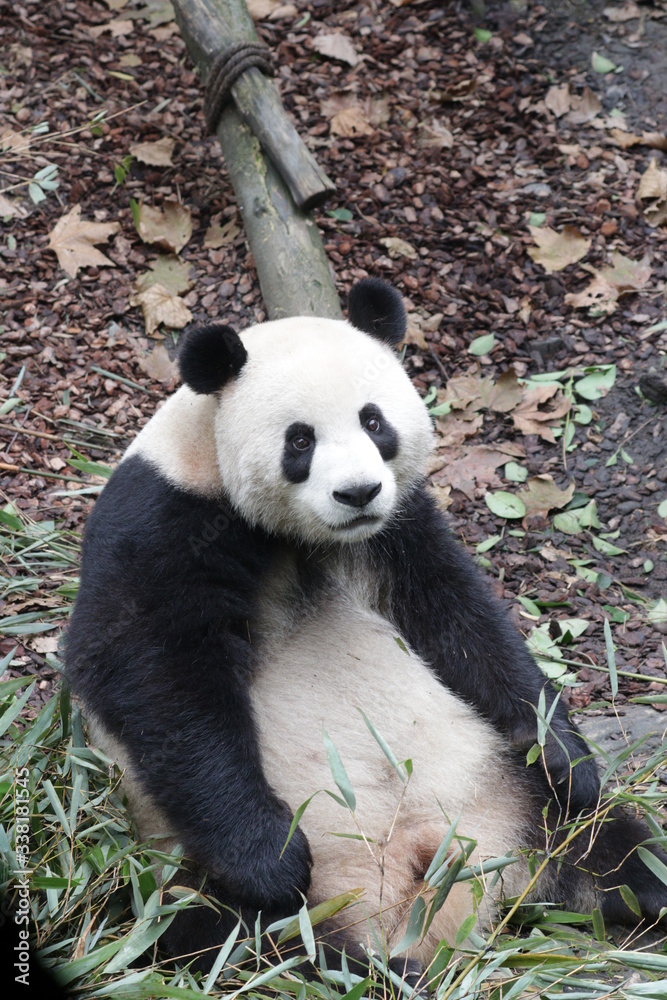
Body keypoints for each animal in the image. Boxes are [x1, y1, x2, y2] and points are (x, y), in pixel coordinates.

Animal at [65, 278, 667, 982]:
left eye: (374, 421)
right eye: (300, 441)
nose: (357, 493)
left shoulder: (397, 528)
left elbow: (461, 620)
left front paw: (565, 754)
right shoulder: (161, 520)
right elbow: (151, 673)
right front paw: (270, 856)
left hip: (503, 788)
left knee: (604, 841)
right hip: (204, 890)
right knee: (243, 941)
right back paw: (372, 969)